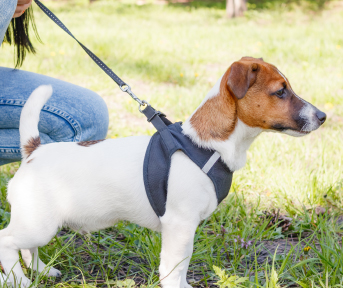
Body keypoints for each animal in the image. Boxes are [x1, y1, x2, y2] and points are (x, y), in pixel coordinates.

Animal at [0, 56, 326, 288]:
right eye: (280, 91)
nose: (323, 116)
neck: (207, 146)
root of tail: (34, 151)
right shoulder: (179, 226)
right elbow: (173, 268)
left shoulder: (184, 231)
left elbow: (180, 267)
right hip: (38, 223)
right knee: (7, 242)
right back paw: (19, 279)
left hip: (40, 224)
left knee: (28, 248)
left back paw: (42, 270)